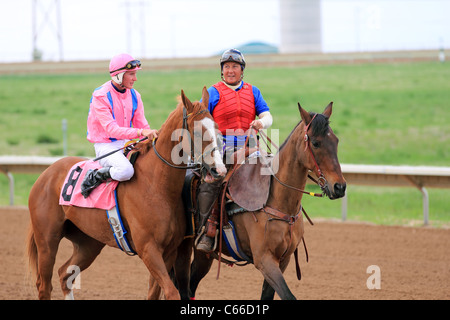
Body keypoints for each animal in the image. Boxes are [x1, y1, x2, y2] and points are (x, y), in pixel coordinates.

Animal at [26, 87, 227, 300]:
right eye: (196, 131)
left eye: (217, 128)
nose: (220, 170)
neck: (157, 187)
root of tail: (46, 173)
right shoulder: (148, 249)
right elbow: (172, 292)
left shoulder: (168, 251)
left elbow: (154, 293)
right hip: (47, 240)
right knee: (44, 284)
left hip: (88, 242)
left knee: (65, 273)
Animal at [174, 102, 346, 300]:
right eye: (316, 143)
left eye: (336, 141)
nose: (340, 187)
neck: (279, 202)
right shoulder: (264, 260)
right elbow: (288, 295)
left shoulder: (283, 260)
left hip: (204, 257)